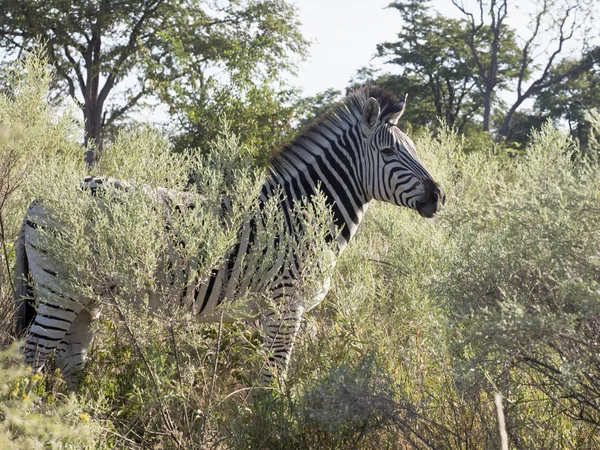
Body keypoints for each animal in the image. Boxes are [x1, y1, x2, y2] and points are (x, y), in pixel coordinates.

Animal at [14, 87, 446, 390]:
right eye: (388, 152)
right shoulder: (285, 305)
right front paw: (271, 424)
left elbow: (267, 375)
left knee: (70, 359)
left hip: (85, 296)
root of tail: (38, 198)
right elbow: (274, 377)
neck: (300, 215)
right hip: (61, 290)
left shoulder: (274, 311)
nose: (439, 196)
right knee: (32, 357)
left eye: (414, 149)